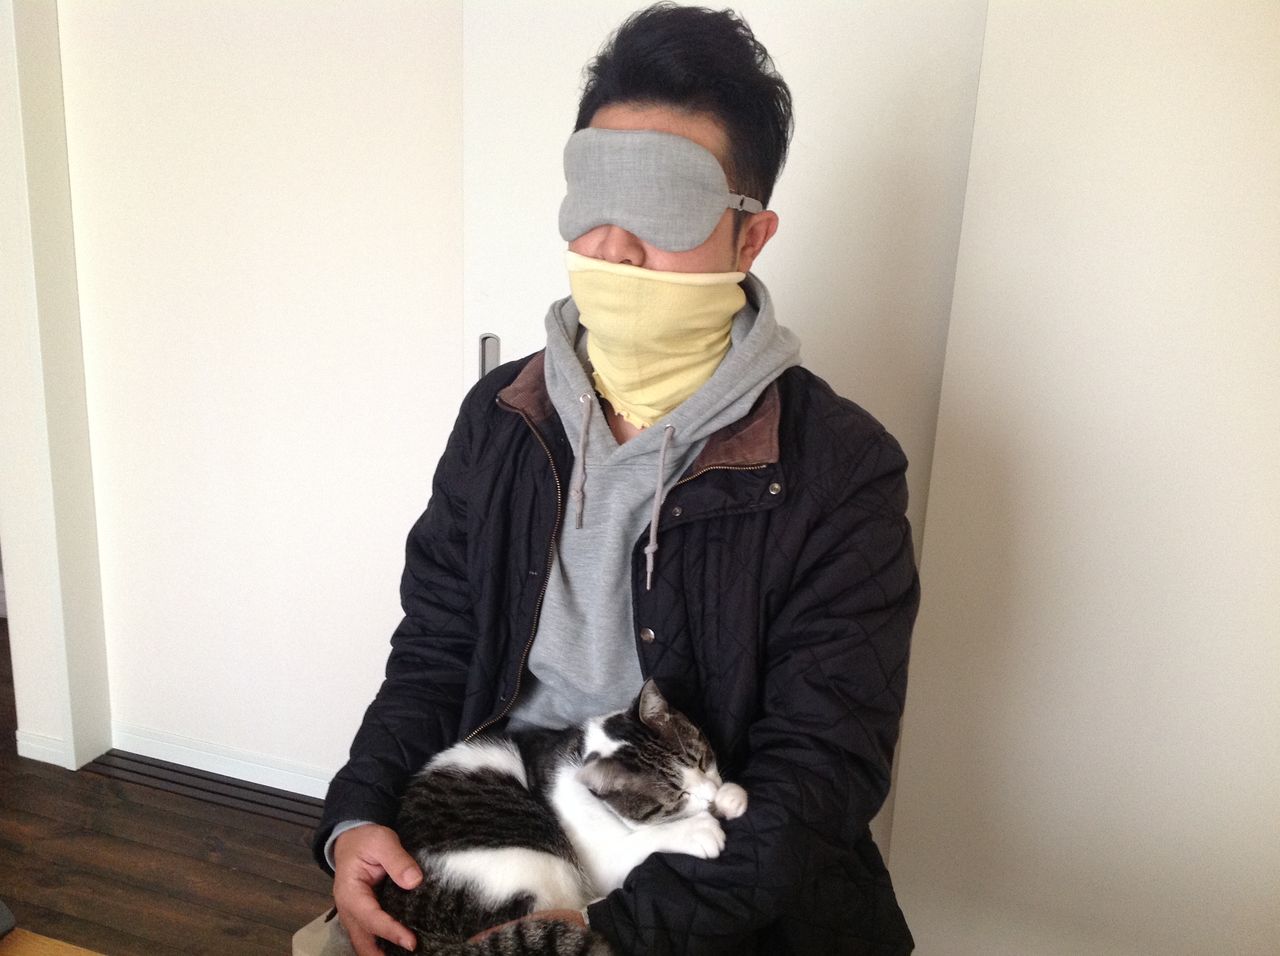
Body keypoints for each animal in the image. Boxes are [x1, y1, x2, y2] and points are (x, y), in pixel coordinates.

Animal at [377, 679, 748, 955]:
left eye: (702, 760)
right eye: (677, 795)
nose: (711, 795)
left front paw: (730, 796)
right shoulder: (600, 863)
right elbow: (642, 840)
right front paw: (697, 829)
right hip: (533, 865)